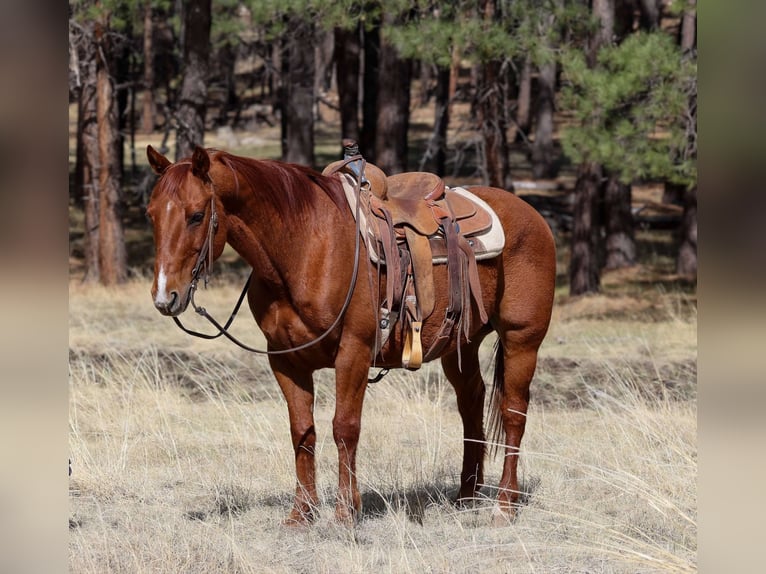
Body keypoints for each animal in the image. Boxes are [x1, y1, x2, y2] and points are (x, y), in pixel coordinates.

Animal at [145, 145, 556, 526]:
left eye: (197, 215)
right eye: (151, 214)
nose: (166, 296)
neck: (306, 246)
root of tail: (532, 214)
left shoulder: (353, 352)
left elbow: (345, 428)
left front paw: (345, 512)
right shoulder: (285, 360)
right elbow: (302, 431)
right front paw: (302, 513)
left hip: (522, 340)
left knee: (513, 412)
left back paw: (504, 505)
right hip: (460, 344)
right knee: (471, 403)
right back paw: (467, 495)